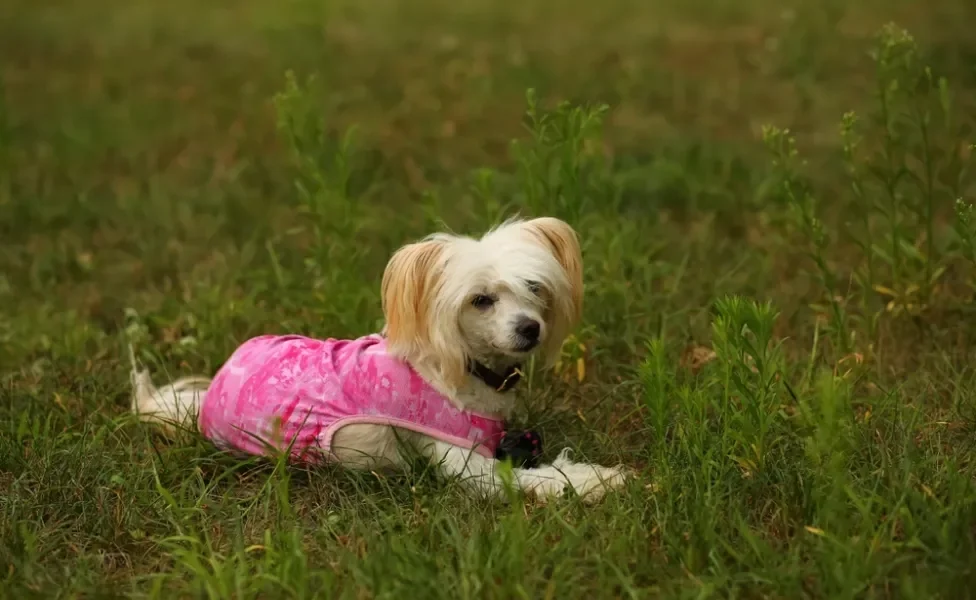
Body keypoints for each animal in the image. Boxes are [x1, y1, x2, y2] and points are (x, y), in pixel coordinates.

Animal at [130, 218, 628, 504]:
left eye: (535, 288)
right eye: (481, 300)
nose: (530, 328)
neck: (461, 368)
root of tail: (208, 396)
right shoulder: (469, 467)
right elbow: (532, 480)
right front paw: (595, 481)